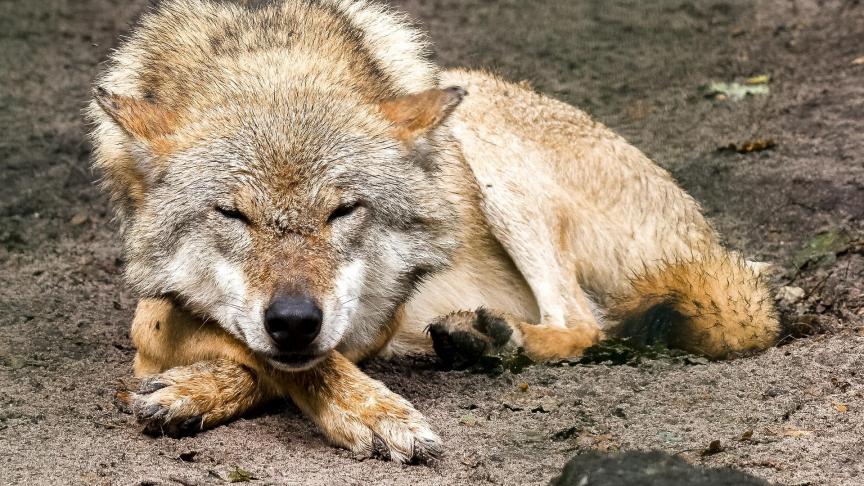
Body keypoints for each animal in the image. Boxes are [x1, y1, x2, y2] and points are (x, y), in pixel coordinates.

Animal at [88, 0, 780, 463]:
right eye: (232, 215)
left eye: (345, 211)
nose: (293, 320)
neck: (271, 61)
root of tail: (712, 242)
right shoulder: (154, 312)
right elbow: (251, 350)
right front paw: (194, 391)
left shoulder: (369, 320)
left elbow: (305, 363)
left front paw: (373, 413)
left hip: (488, 153)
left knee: (586, 322)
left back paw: (491, 341)